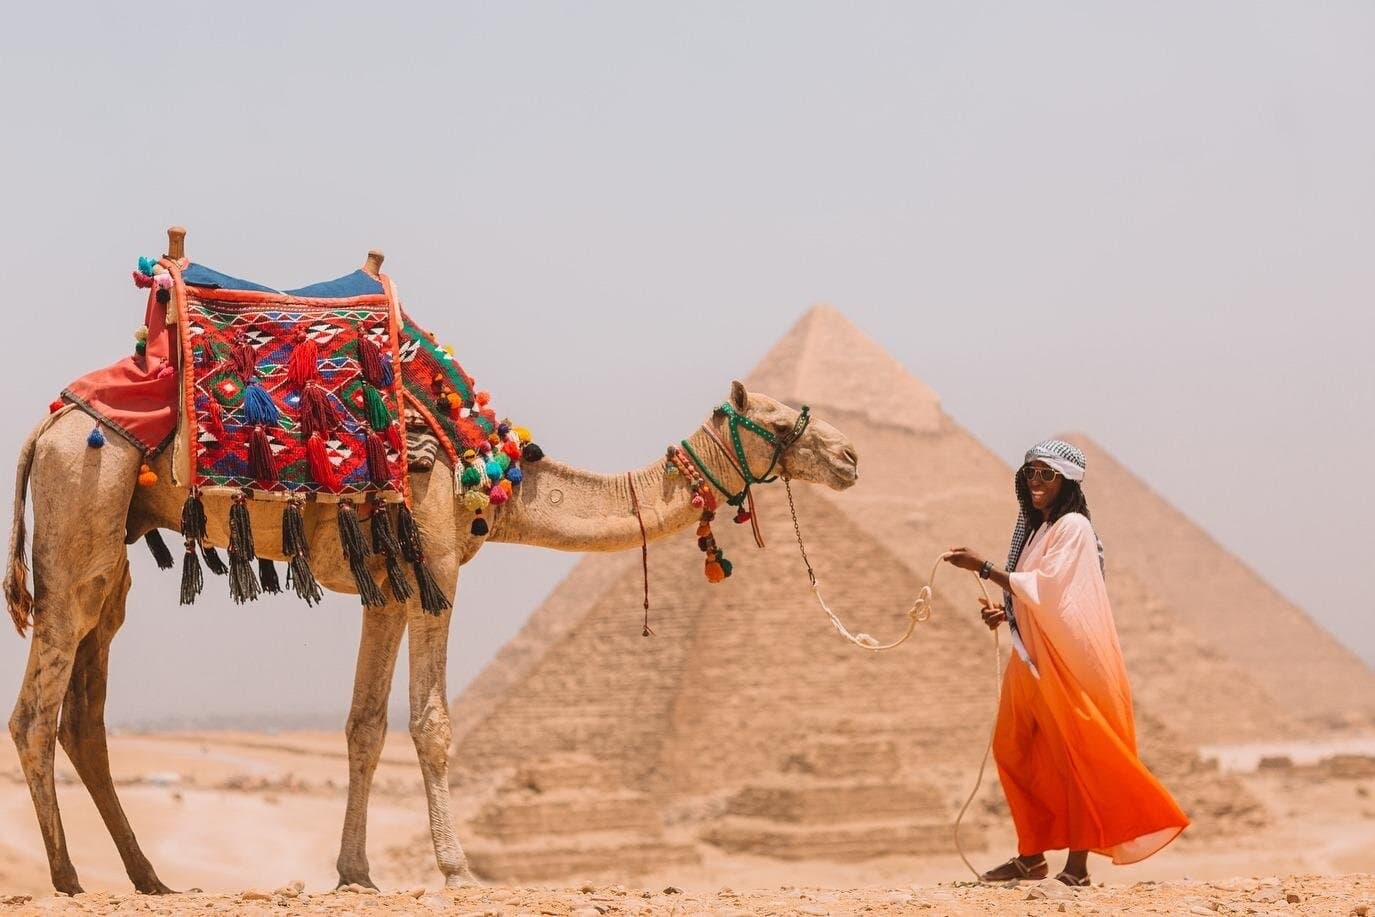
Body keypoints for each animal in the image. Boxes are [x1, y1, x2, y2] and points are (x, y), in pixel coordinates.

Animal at [6, 299, 859, 895]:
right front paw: (457, 868)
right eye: (782, 422)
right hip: (83, 504)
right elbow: (431, 725)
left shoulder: (384, 589)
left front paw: (354, 871)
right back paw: (67, 876)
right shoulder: (436, 568)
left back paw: (148, 876)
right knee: (37, 706)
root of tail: (47, 427)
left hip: (113, 542)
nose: (850, 455)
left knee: (86, 708)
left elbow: (362, 728)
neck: (496, 471)